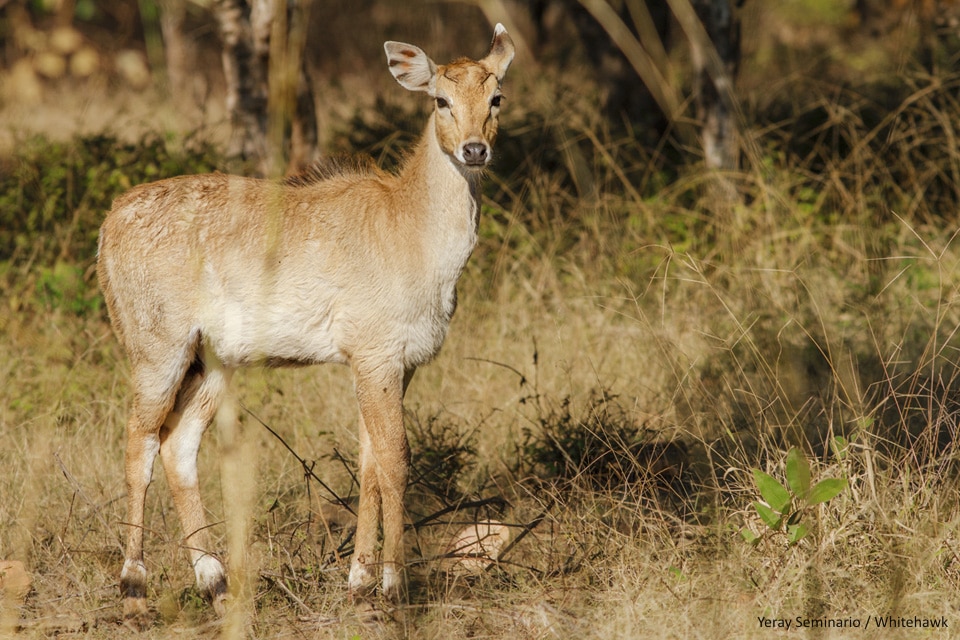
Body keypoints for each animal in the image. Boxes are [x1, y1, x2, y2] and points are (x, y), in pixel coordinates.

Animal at [96, 23, 512, 620]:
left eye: (497, 96)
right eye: (441, 100)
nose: (475, 149)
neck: (415, 236)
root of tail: (105, 231)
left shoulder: (392, 360)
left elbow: (368, 462)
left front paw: (358, 582)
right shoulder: (376, 349)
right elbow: (397, 460)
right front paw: (396, 589)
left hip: (213, 358)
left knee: (178, 445)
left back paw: (217, 583)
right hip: (156, 342)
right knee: (138, 439)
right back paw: (134, 587)